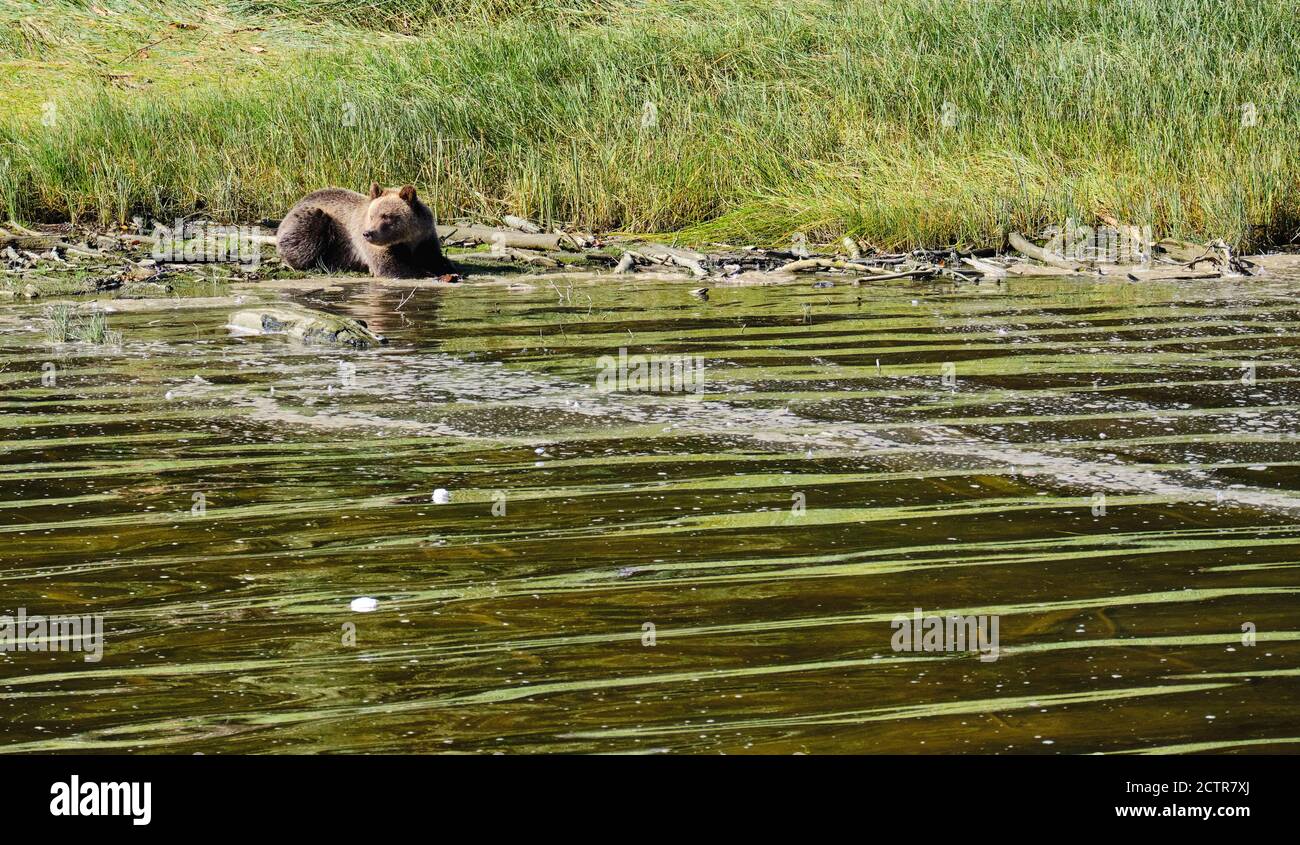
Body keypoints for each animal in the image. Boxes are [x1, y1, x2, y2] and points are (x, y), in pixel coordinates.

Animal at [276, 183, 453, 278]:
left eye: (386, 216)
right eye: (372, 215)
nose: (368, 233)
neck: (407, 238)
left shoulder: (425, 236)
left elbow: (435, 258)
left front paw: (445, 268)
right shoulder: (373, 245)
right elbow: (388, 265)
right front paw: (426, 272)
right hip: (313, 221)